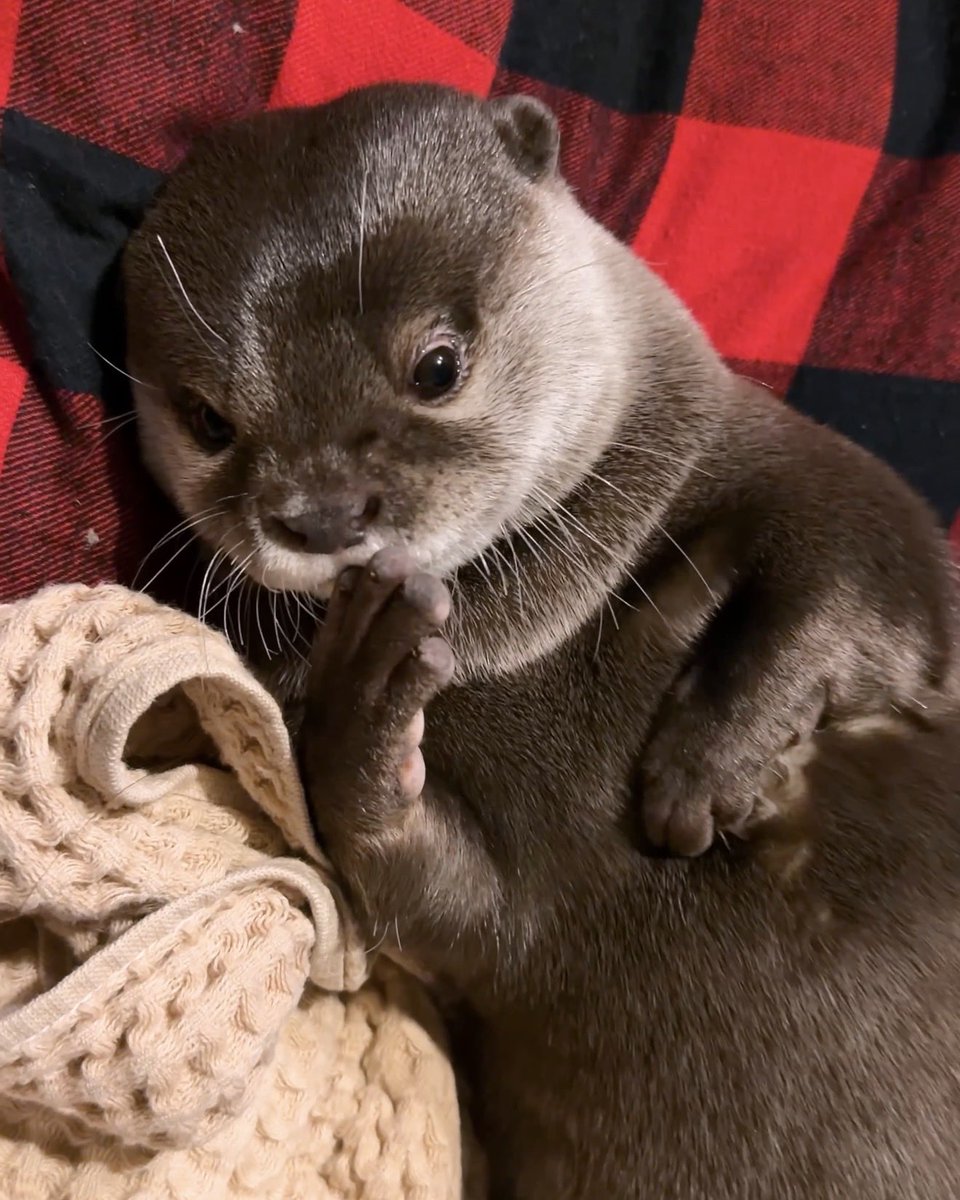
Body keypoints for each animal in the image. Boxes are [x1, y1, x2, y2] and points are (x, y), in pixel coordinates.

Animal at [123, 85, 960, 1197]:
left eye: (436, 366)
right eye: (209, 419)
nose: (323, 512)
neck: (533, 637)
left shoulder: (803, 471)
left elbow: (863, 568)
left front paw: (712, 765)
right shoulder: (505, 925)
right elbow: (406, 875)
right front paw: (363, 697)